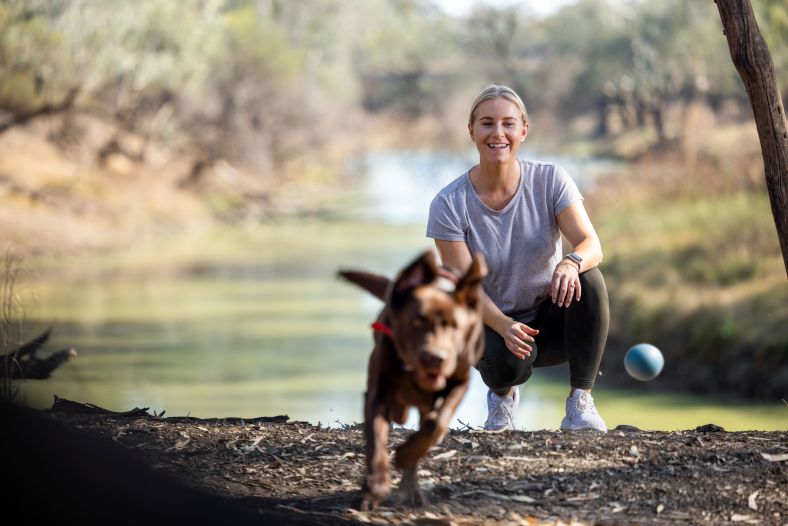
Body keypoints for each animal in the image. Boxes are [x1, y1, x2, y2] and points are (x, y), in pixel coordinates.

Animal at [338, 252, 486, 512]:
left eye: (455, 326)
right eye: (417, 321)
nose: (436, 358)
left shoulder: (460, 381)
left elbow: (436, 425)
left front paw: (405, 455)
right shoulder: (377, 394)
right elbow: (376, 442)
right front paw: (374, 489)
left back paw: (411, 491)